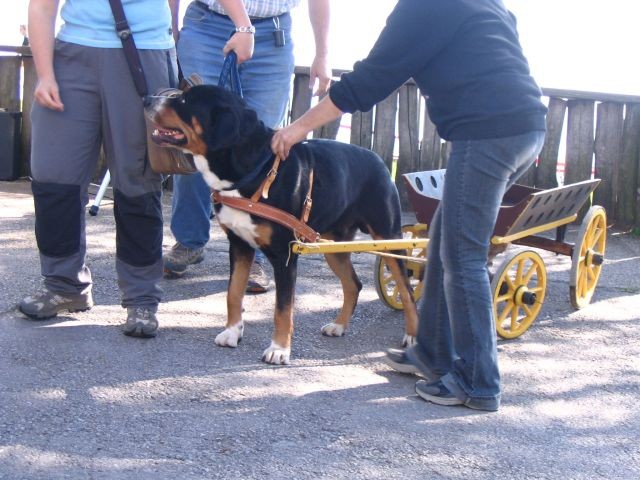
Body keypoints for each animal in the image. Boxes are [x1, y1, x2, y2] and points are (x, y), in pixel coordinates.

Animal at [150, 85, 420, 364]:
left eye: (184, 100)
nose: (149, 99)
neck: (256, 171)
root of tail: (378, 160)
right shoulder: (239, 246)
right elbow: (233, 293)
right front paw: (232, 332)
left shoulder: (285, 256)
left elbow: (283, 308)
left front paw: (279, 349)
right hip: (332, 246)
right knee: (353, 284)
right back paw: (339, 326)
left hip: (389, 238)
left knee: (407, 292)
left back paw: (412, 338)